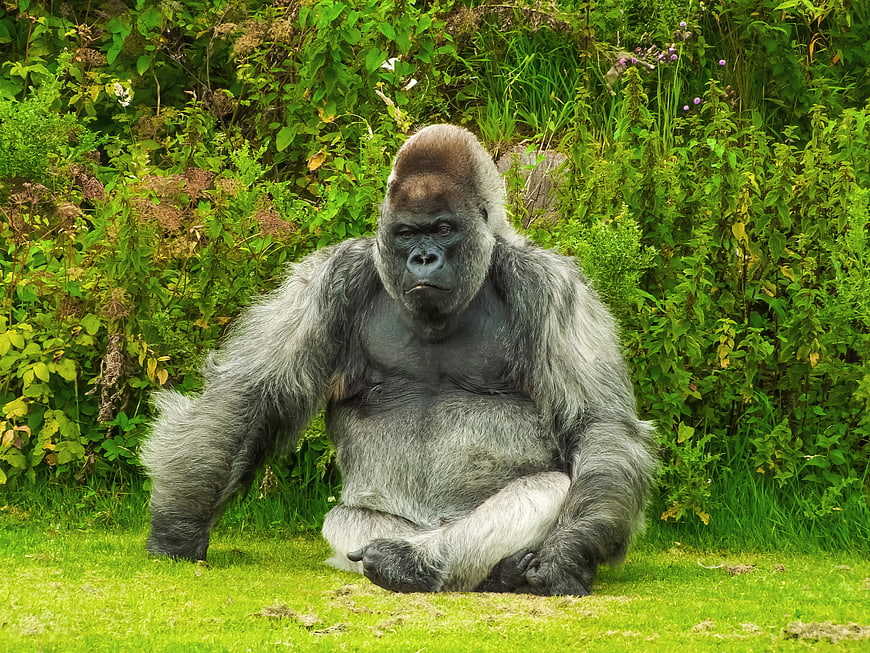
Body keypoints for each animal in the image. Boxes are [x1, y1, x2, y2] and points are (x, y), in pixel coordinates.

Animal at [140, 124, 657, 596]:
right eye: (408, 233)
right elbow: (248, 396)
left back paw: (422, 564)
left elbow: (597, 425)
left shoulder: (552, 286)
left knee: (550, 487)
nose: (423, 259)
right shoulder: (328, 279)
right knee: (348, 518)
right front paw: (178, 527)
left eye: (443, 229)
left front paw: (568, 551)